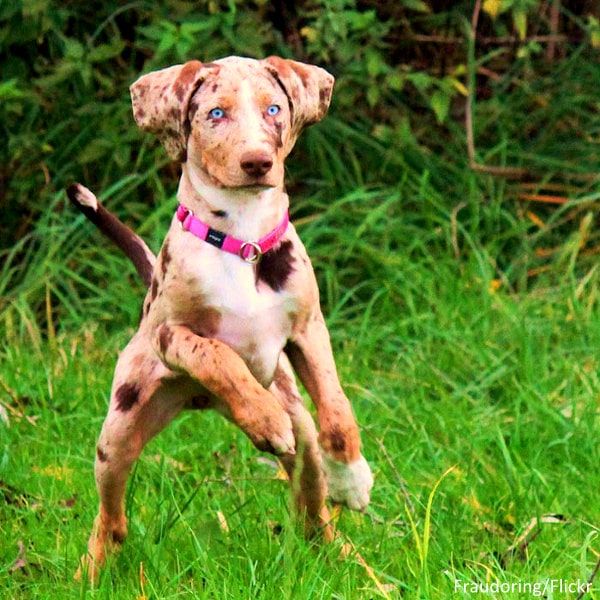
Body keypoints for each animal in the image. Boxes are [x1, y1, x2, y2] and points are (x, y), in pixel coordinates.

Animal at [69, 55, 370, 580]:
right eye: (215, 114)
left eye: (273, 109)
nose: (257, 162)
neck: (242, 238)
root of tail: (200, 404)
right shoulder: (170, 334)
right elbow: (216, 355)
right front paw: (263, 417)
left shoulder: (308, 330)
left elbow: (336, 409)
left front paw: (351, 478)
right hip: (120, 428)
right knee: (110, 514)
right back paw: (92, 570)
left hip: (301, 436)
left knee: (312, 510)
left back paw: (347, 558)